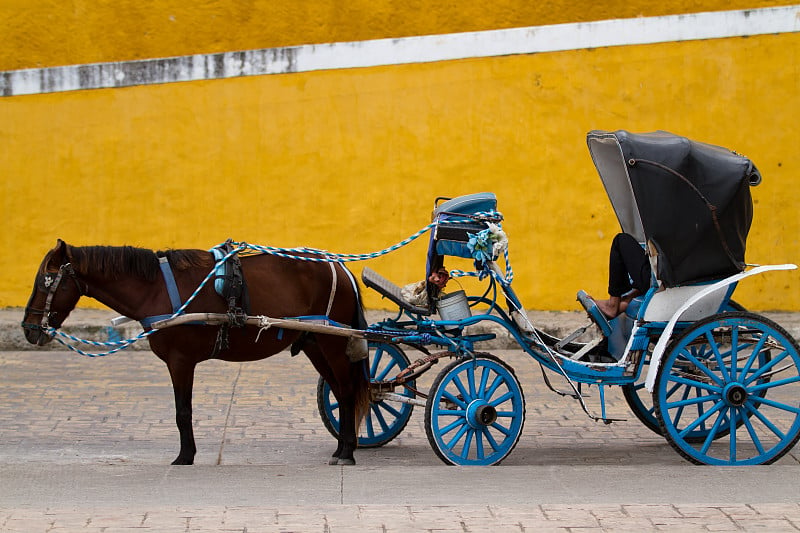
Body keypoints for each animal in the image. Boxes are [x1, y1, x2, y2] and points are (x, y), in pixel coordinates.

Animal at [21, 239, 370, 464]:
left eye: (45, 280)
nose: (28, 328)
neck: (155, 290)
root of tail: (340, 269)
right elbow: (182, 410)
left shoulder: (180, 361)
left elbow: (182, 411)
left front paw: (185, 456)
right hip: (315, 343)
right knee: (339, 391)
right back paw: (343, 447)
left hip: (332, 343)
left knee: (347, 391)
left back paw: (347, 453)